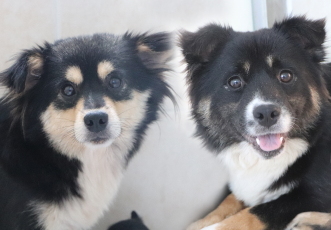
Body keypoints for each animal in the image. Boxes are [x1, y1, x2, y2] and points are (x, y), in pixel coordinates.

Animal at [182, 16, 331, 230]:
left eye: (285, 75)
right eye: (235, 82)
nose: (267, 113)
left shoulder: (315, 193)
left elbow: (252, 213)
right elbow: (228, 201)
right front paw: (199, 223)